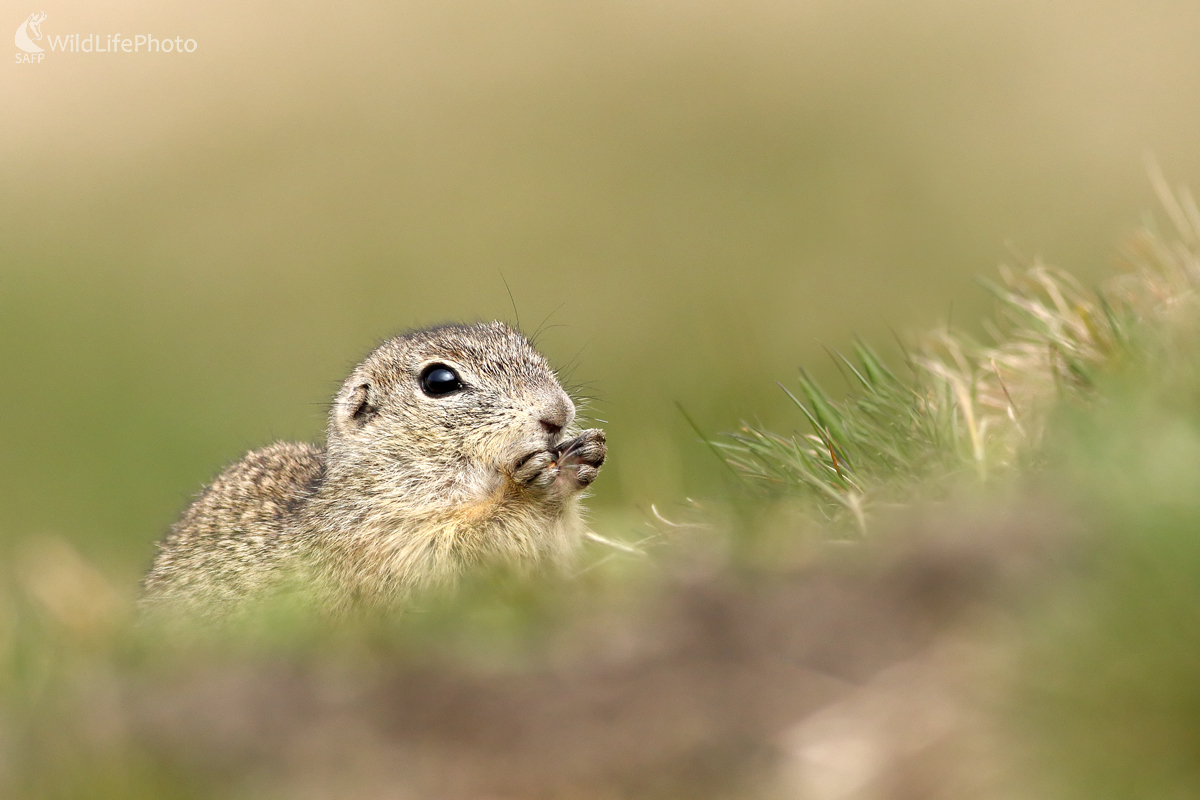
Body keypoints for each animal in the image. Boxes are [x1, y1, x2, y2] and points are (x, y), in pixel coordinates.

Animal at [141, 321, 604, 623]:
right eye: (440, 381)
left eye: (527, 349)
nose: (557, 413)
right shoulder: (382, 539)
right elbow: (457, 556)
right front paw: (535, 490)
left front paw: (582, 456)